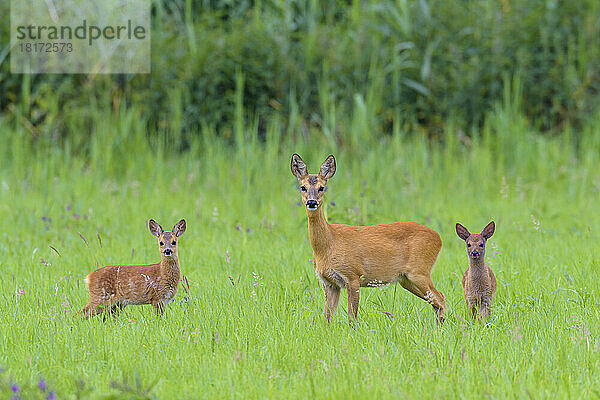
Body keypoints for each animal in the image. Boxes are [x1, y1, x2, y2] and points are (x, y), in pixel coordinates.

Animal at [290, 155, 446, 324]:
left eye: (322, 188)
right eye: (302, 187)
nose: (312, 202)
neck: (328, 244)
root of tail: (438, 238)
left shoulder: (353, 275)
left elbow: (352, 317)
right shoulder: (330, 283)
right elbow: (327, 318)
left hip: (419, 271)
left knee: (440, 299)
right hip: (406, 280)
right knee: (437, 301)